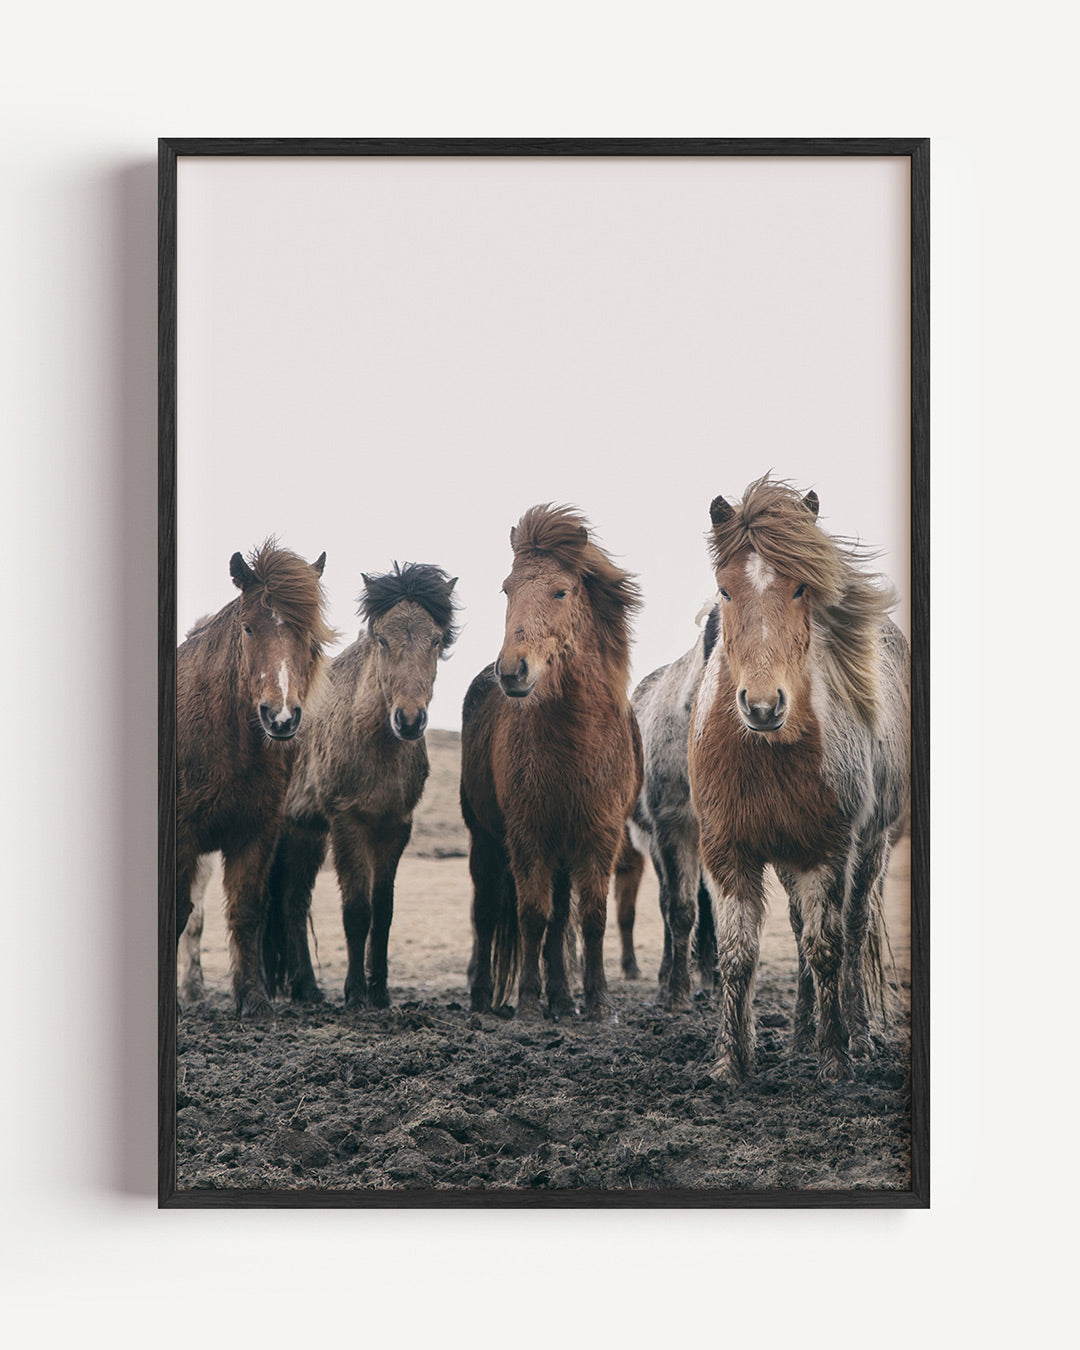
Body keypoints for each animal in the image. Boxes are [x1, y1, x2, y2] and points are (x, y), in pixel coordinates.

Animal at [176, 542, 335, 1017]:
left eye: (308, 634)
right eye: (247, 628)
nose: (280, 717)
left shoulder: (257, 833)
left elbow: (246, 911)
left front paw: (252, 998)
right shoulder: (184, 836)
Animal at [261, 563, 459, 1009]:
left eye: (436, 639)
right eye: (381, 638)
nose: (409, 720)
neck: (375, 742)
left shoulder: (395, 826)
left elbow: (383, 911)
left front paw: (380, 992)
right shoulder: (348, 823)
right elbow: (356, 910)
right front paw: (355, 993)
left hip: (305, 832)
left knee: (293, 903)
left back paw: (308, 988)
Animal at [461, 504, 643, 1021]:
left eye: (561, 591)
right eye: (507, 589)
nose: (511, 671)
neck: (574, 743)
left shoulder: (599, 837)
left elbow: (591, 918)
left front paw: (599, 1004)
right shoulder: (527, 836)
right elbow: (531, 916)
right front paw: (526, 1002)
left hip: (563, 852)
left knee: (562, 917)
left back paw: (562, 998)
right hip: (485, 841)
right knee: (486, 914)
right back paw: (483, 995)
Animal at [687, 476, 909, 1083]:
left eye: (800, 589)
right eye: (725, 590)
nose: (764, 705)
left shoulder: (828, 850)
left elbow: (827, 948)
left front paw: (835, 1061)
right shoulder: (727, 852)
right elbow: (737, 955)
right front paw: (730, 1063)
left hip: (868, 848)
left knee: (852, 932)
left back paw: (857, 1037)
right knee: (796, 928)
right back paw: (798, 1038)